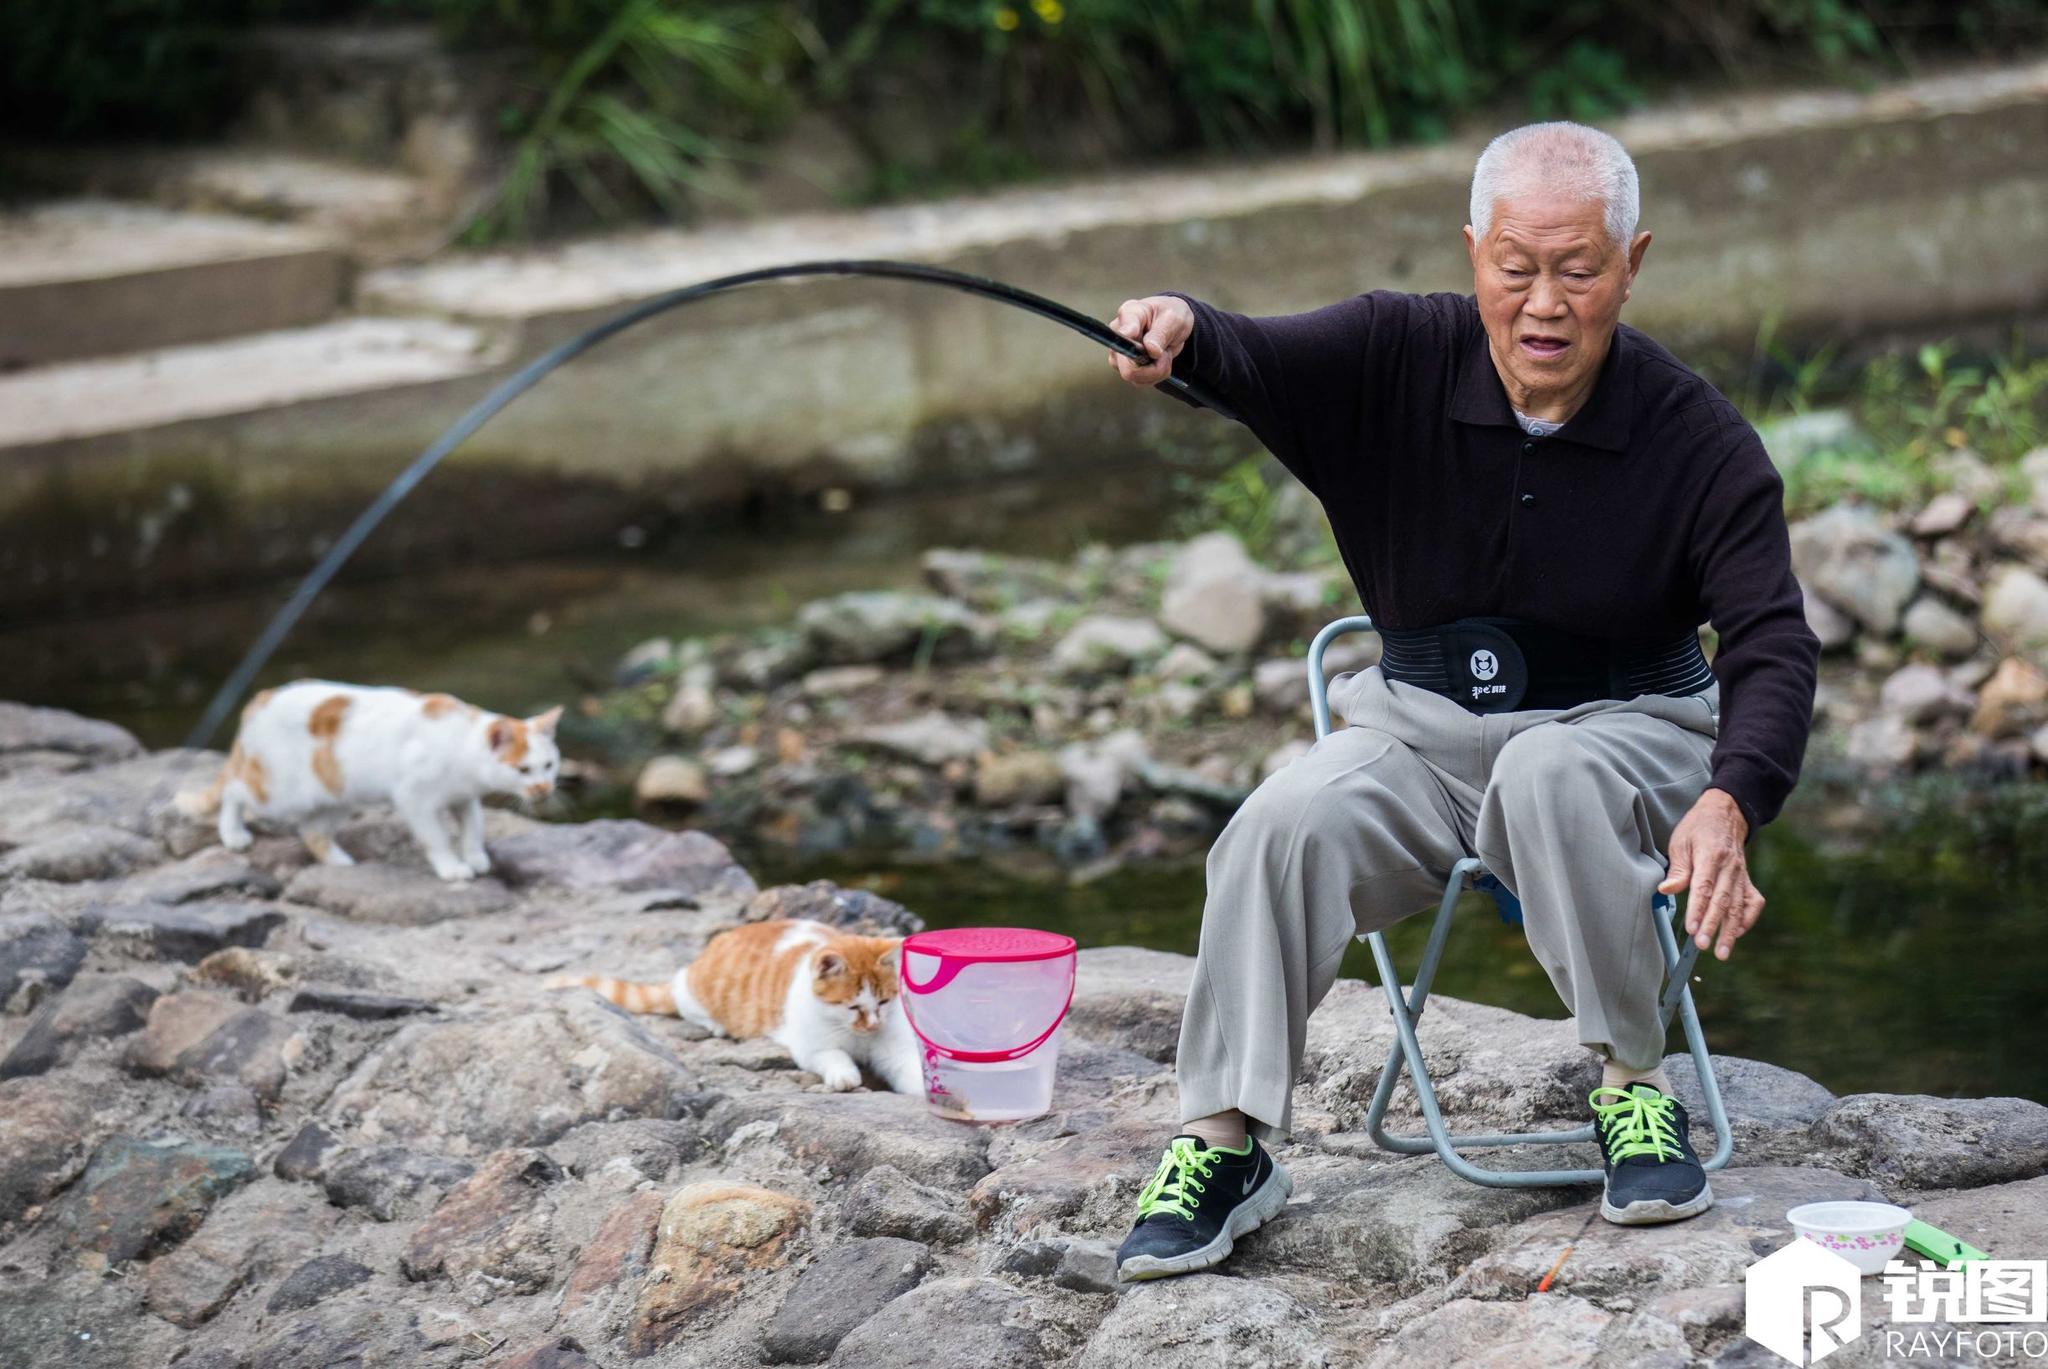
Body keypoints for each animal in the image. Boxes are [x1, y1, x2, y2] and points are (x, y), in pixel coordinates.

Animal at [180, 680, 565, 881]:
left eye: (548, 765)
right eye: (523, 770)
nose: (543, 788)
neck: (462, 741)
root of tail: (261, 699)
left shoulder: (464, 797)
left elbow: (473, 828)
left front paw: (475, 857)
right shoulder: (415, 798)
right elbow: (437, 838)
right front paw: (452, 867)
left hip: (337, 795)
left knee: (311, 831)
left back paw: (339, 862)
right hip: (279, 792)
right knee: (235, 789)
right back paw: (233, 834)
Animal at [552, 914, 921, 1098]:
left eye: (884, 1001)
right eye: (852, 1007)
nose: (873, 1025)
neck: (859, 1038)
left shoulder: (895, 1049)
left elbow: (910, 1071)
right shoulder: (812, 1047)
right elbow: (834, 1057)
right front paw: (846, 1076)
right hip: (693, 989)